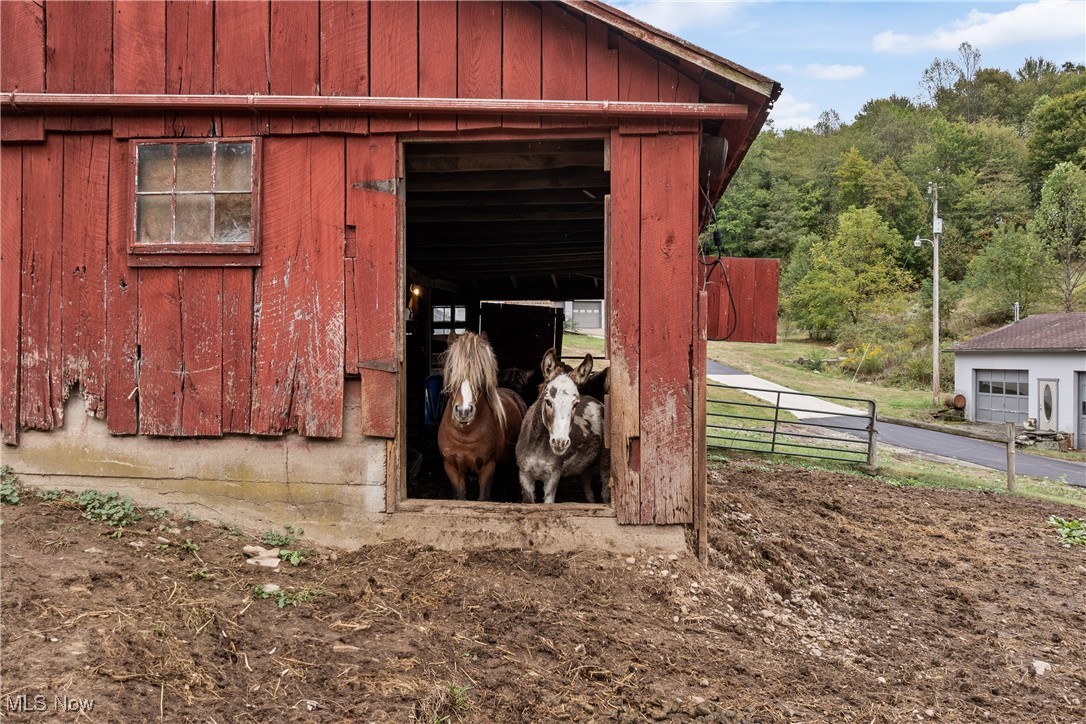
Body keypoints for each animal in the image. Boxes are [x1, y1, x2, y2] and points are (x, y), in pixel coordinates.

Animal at [438, 332, 527, 501]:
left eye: (481, 372)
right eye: (452, 369)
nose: (464, 411)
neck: (465, 434)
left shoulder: (487, 467)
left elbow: (483, 498)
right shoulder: (451, 467)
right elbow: (460, 498)